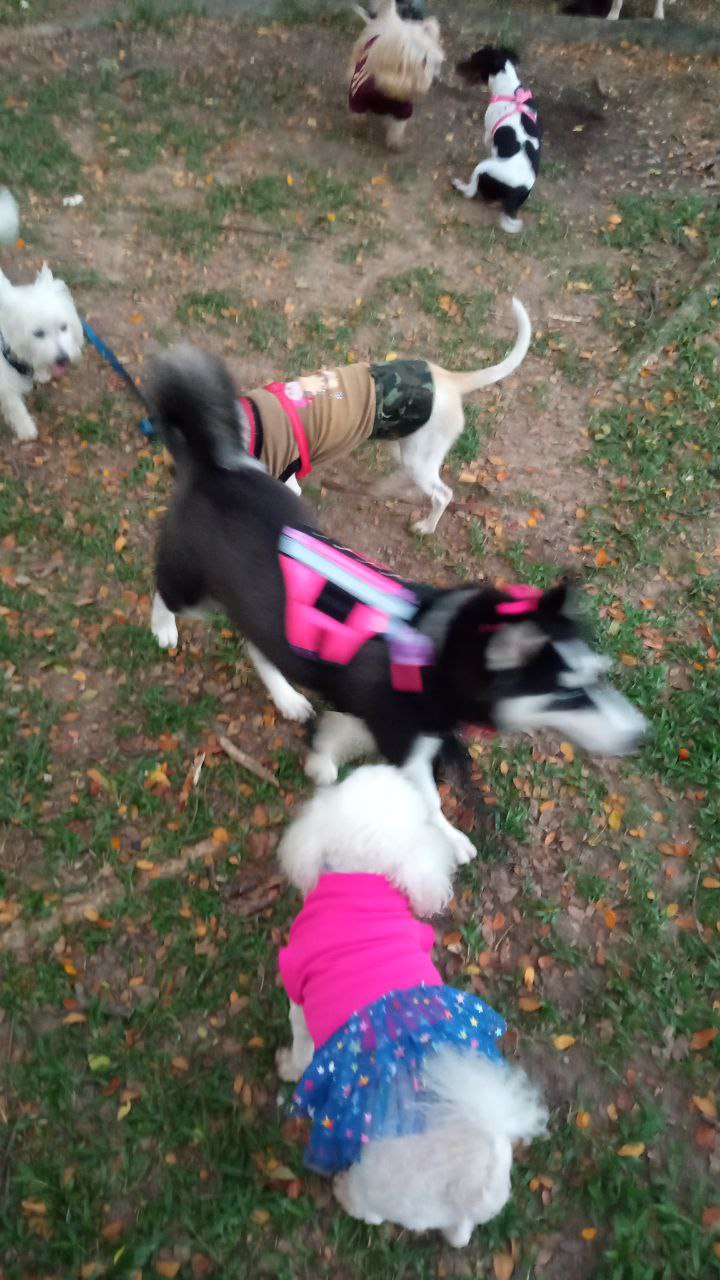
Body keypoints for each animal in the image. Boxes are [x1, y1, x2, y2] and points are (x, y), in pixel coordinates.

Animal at [0, 258, 83, 440]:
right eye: (38, 333)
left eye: (63, 327)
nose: (63, 359)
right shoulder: (3, 380)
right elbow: (14, 403)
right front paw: (25, 428)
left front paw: (41, 372)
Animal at [148, 348, 640, 860]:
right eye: (567, 692)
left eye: (594, 678)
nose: (638, 735)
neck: (435, 645)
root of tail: (212, 465)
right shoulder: (402, 743)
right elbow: (423, 800)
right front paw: (451, 839)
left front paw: (322, 765)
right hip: (195, 587)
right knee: (164, 592)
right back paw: (164, 629)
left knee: (256, 644)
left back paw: (287, 697)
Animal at [274, 762, 543, 1244]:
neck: (364, 879)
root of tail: (475, 1184)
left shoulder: (299, 996)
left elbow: (302, 1049)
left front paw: (287, 1067)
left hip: (379, 1181)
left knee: (369, 1210)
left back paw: (343, 1192)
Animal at [448, 46, 538, 235]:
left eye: (474, 59)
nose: (456, 65)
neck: (509, 90)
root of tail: (518, 190)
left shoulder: (488, 134)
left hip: (483, 167)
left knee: (471, 191)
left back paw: (458, 184)